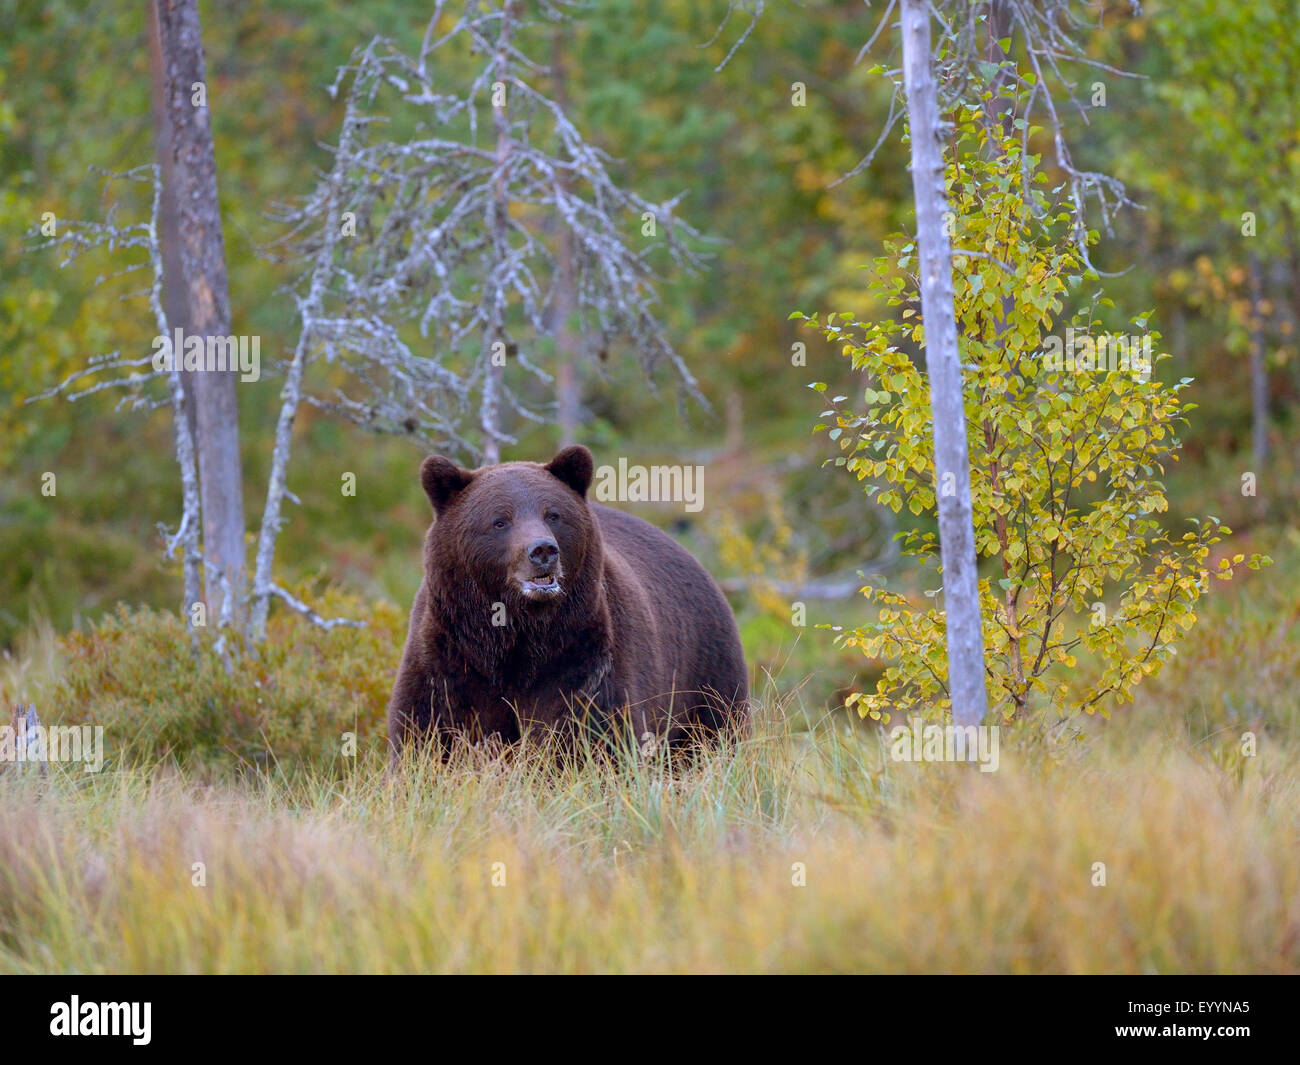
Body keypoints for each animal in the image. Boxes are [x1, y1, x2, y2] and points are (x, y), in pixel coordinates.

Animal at [386, 445, 748, 760]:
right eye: (500, 520)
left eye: (553, 514)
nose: (542, 550)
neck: (514, 637)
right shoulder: (446, 656)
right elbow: (424, 730)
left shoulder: (581, 655)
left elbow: (589, 733)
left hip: (703, 672)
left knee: (713, 732)